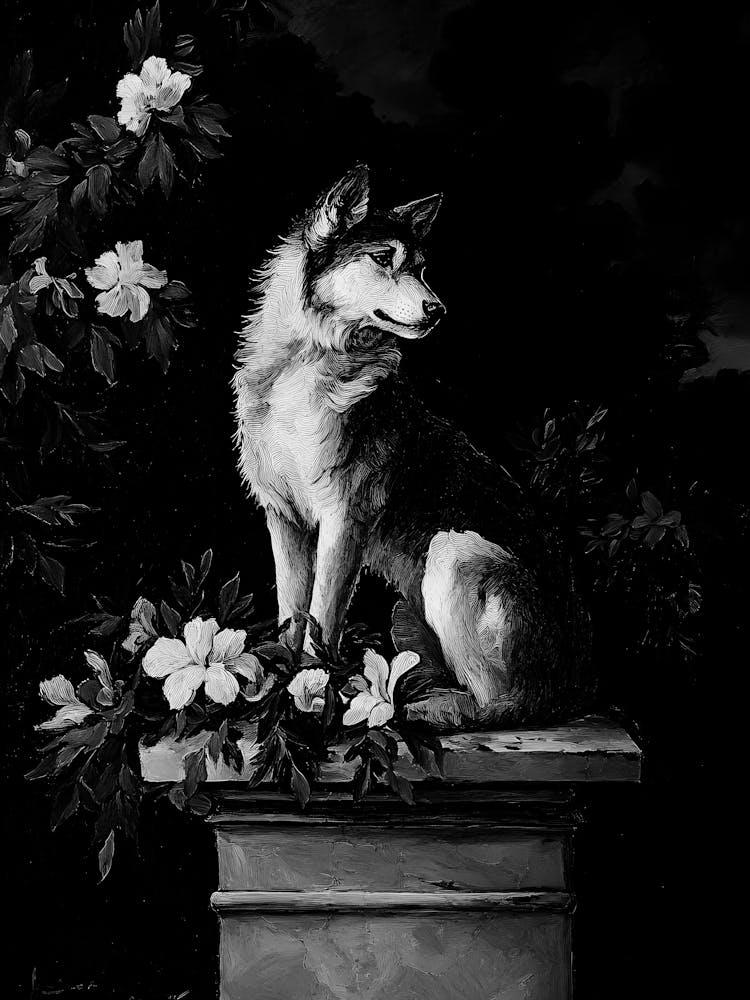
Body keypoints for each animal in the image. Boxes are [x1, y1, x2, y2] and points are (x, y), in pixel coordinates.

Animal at [233, 165, 590, 731]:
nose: (438, 310)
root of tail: (579, 685)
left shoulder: (343, 522)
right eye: (383, 259)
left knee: (504, 706)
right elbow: (292, 613)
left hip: (456, 551)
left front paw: (308, 697)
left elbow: (321, 620)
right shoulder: (283, 518)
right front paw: (277, 687)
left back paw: (420, 710)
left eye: (421, 268)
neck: (303, 363)